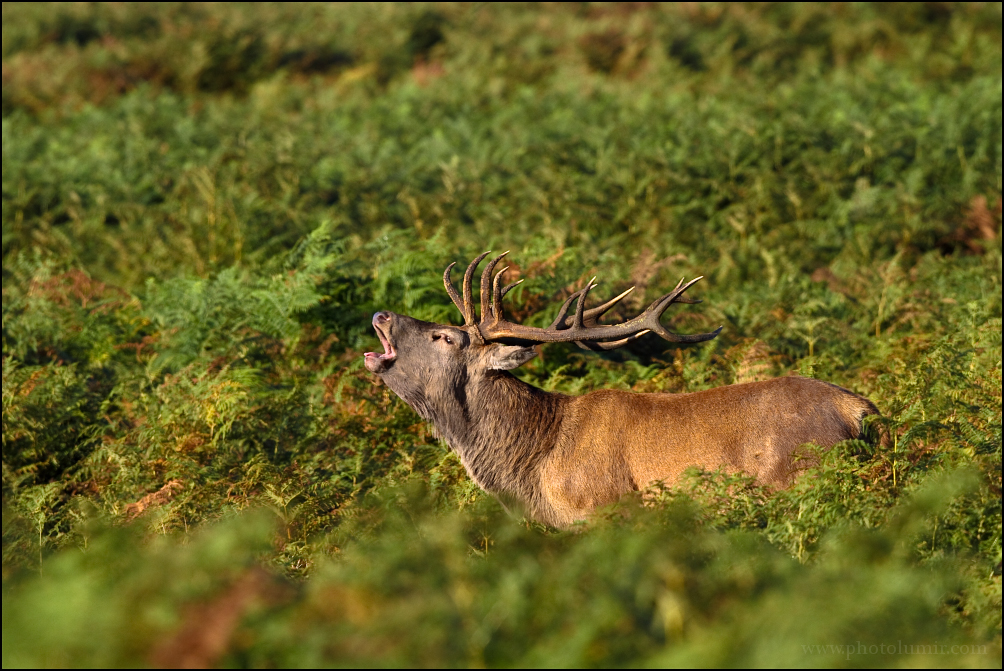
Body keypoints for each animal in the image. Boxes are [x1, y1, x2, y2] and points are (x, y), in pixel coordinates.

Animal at [364, 252, 878, 528]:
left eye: (445, 337)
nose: (381, 313)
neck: (534, 465)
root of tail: (859, 409)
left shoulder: (605, 511)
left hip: (800, 479)